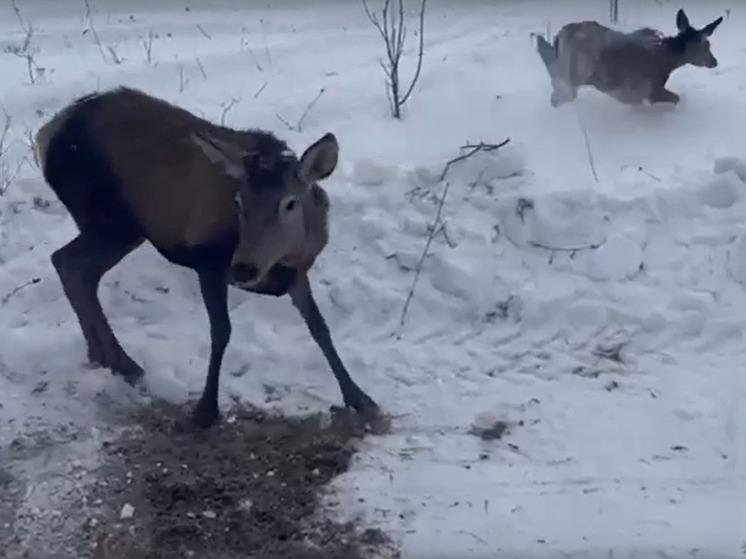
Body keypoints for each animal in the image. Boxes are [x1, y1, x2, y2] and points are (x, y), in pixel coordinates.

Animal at [33, 86, 378, 428]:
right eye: (238, 201)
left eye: (290, 203)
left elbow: (320, 328)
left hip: (119, 227)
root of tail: (44, 135)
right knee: (69, 263)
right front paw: (206, 408)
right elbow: (221, 331)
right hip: (110, 220)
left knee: (72, 266)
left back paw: (108, 358)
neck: (286, 258)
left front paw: (361, 398)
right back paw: (120, 360)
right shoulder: (207, 259)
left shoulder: (295, 273)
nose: (244, 268)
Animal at [536, 8, 720, 107]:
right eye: (706, 45)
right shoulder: (648, 89)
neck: (666, 60)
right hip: (575, 71)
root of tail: (560, 35)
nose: (714, 61)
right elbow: (675, 99)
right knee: (560, 89)